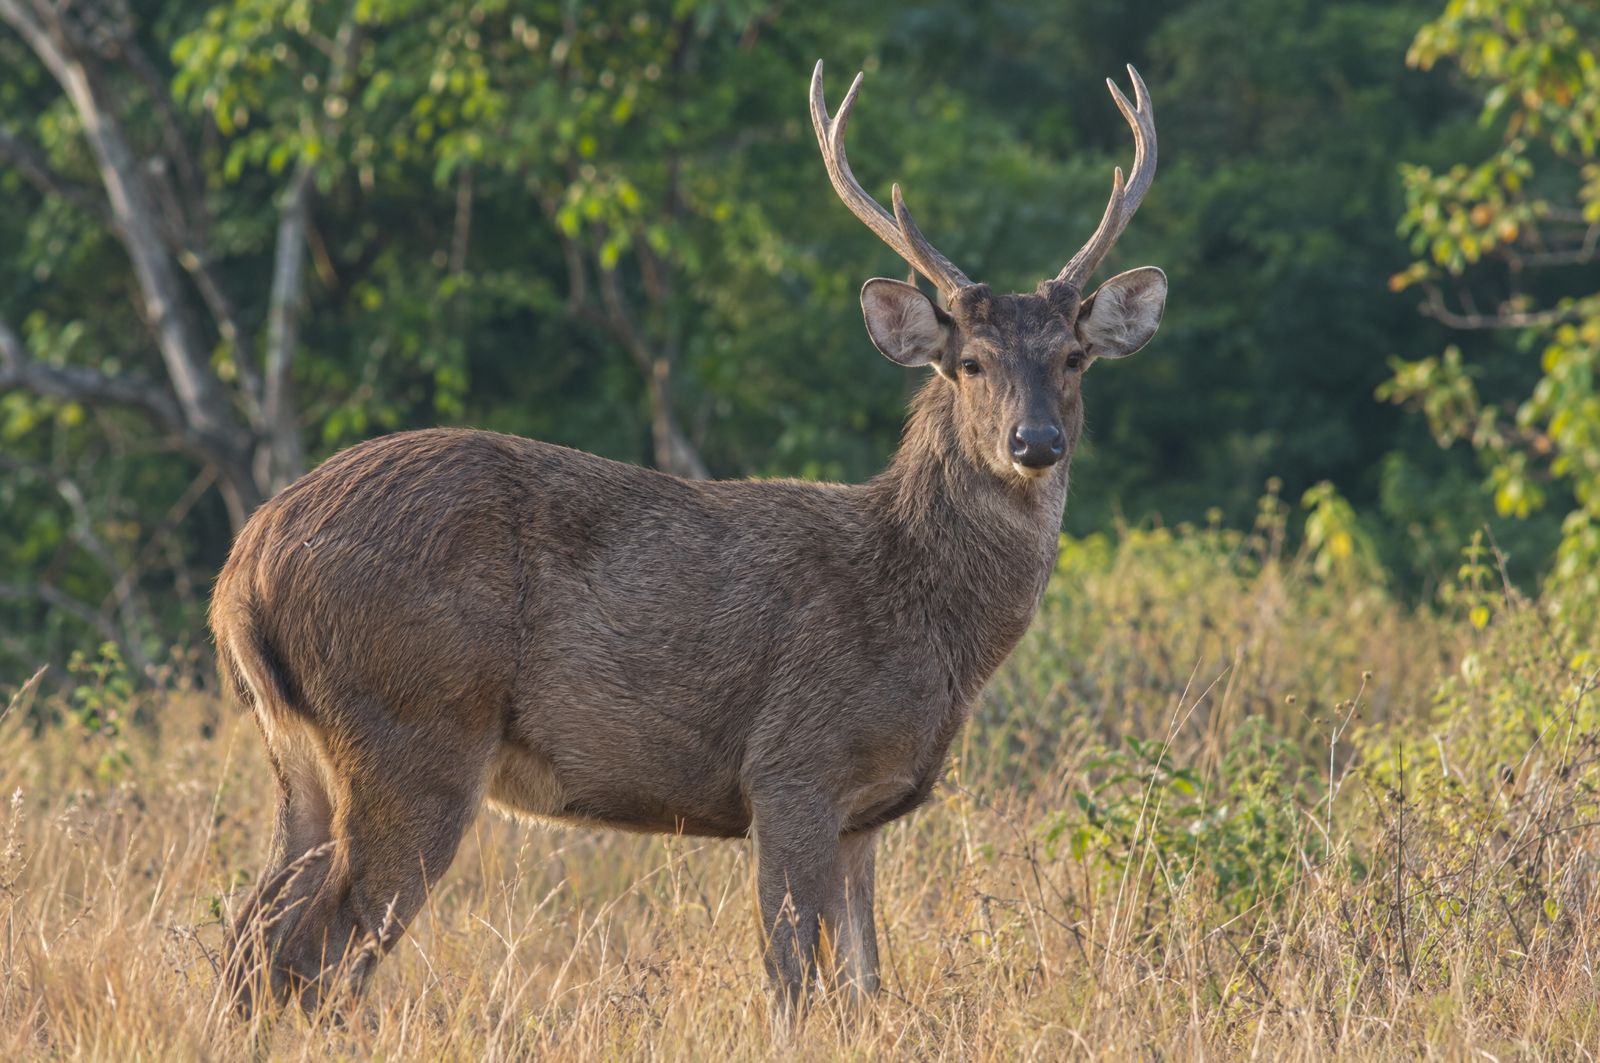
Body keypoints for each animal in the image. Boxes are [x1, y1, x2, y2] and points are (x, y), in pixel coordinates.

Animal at [211, 59, 1164, 1023]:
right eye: (970, 362)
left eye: (1074, 358)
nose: (1035, 442)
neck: (925, 615)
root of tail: (241, 572)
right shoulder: (793, 764)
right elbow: (792, 978)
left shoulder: (863, 811)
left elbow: (865, 983)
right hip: (413, 725)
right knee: (321, 946)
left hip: (301, 753)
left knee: (253, 936)